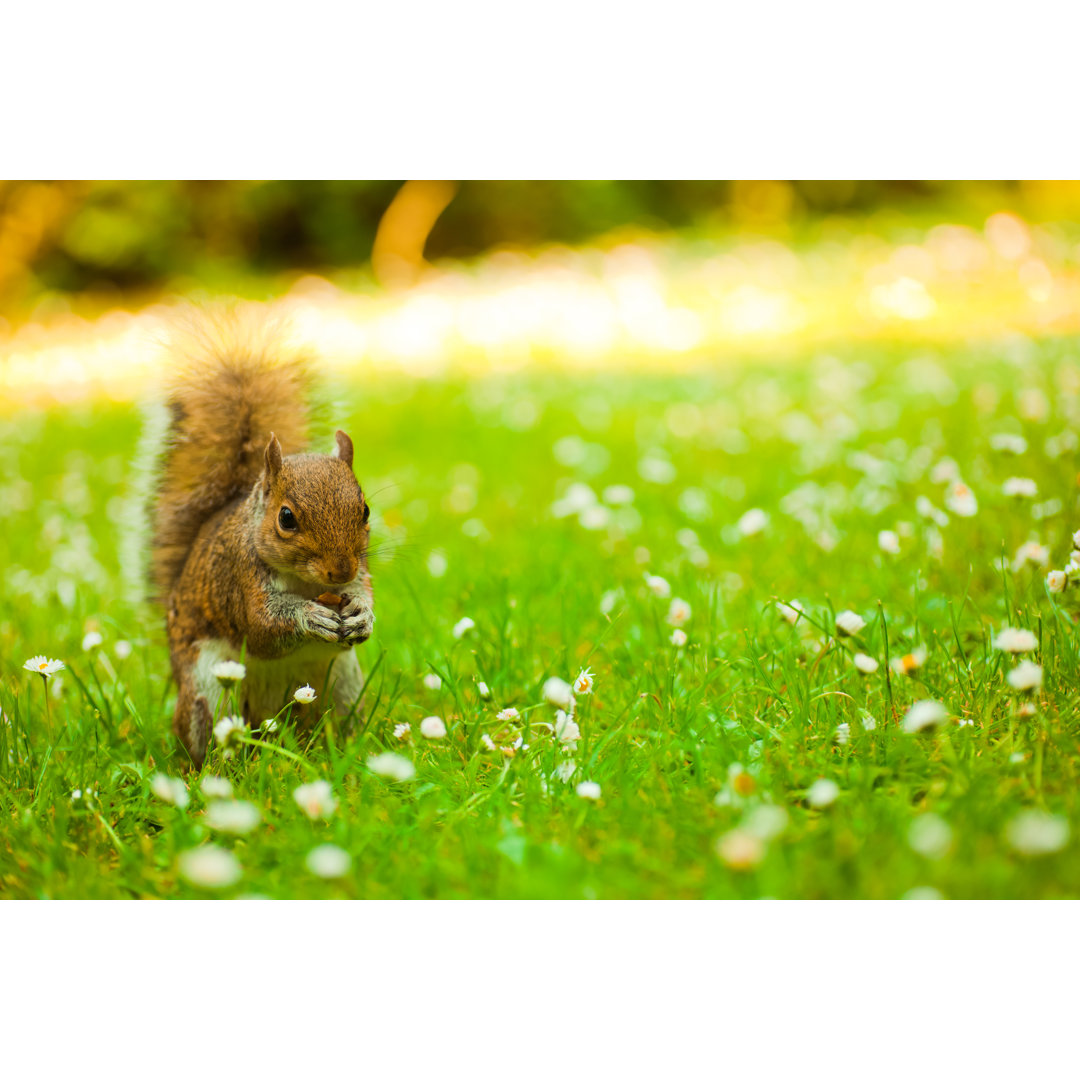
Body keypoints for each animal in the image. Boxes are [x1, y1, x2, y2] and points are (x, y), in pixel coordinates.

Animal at [145, 315, 375, 773]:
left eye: (365, 510)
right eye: (286, 518)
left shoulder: (361, 575)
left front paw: (362, 616)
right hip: (209, 689)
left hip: (343, 686)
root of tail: (275, 718)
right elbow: (263, 628)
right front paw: (309, 617)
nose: (340, 570)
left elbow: (365, 599)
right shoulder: (241, 579)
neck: (308, 583)